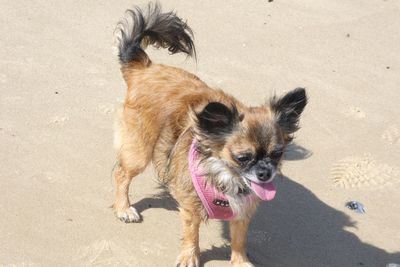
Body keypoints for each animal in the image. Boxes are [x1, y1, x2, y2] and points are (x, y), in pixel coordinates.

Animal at [113, 3, 310, 266]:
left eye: (277, 154)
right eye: (242, 157)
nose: (265, 173)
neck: (227, 176)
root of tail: (145, 67)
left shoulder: (243, 210)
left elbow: (239, 239)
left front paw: (240, 261)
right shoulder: (191, 205)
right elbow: (191, 233)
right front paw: (189, 256)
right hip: (139, 151)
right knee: (122, 173)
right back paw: (123, 208)